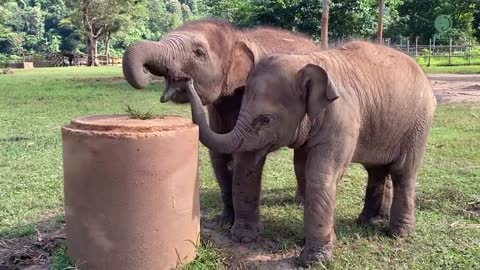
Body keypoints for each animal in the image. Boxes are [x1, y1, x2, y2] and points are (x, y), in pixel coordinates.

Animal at [122, 19, 330, 233]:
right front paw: (225, 222)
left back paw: (300, 203)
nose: (184, 81)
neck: (238, 37)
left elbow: (244, 156)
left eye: (198, 52)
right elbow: (218, 157)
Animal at [185, 41, 438, 266]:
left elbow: (320, 175)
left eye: (266, 120)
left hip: (418, 125)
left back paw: (398, 233)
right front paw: (245, 238)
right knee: (376, 170)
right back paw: (369, 222)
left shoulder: (341, 120)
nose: (186, 80)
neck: (306, 61)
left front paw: (314, 260)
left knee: (403, 172)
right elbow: (290, 168)